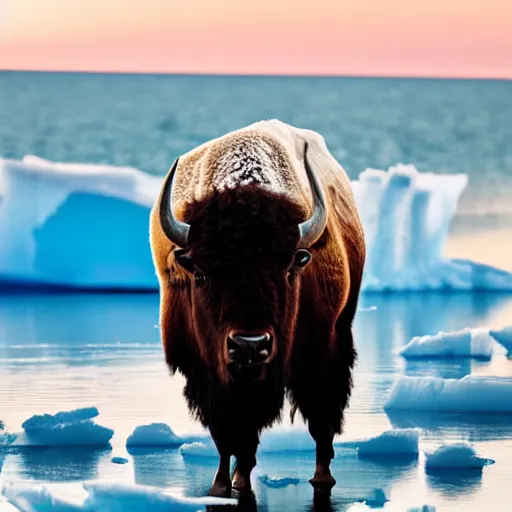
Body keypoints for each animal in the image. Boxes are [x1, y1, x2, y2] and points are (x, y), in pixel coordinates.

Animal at [150, 119, 366, 496]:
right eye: (201, 275)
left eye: (290, 269)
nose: (250, 345)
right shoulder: (207, 373)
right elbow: (227, 434)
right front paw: (222, 485)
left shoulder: (321, 352)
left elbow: (317, 415)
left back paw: (319, 475)